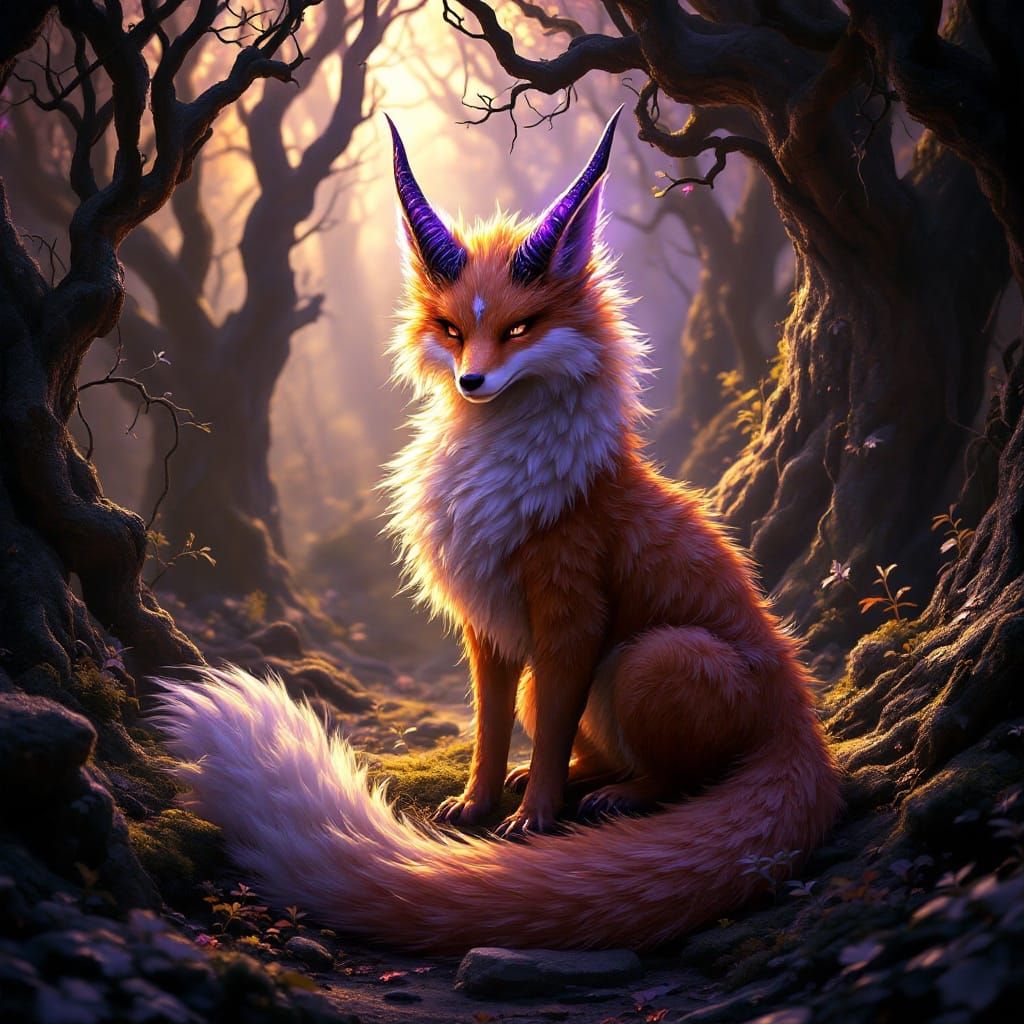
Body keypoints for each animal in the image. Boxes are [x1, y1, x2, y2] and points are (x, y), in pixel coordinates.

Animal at [154, 109, 842, 953]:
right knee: (578, 740)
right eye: (452, 329)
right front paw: (479, 804)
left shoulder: (569, 613)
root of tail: (803, 714)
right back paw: (580, 780)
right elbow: (487, 724)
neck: (503, 484)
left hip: (656, 658)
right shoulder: (487, 623)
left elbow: (546, 736)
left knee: (678, 778)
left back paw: (617, 795)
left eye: (520, 329)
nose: (471, 381)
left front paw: (533, 818)